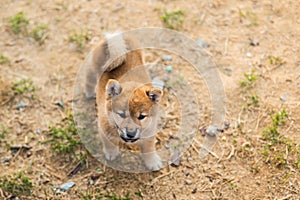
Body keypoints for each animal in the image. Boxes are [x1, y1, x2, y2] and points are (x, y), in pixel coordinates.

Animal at [82, 32, 164, 171]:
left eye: (141, 116)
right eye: (121, 114)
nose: (130, 133)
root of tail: (116, 36)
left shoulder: (149, 133)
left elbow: (149, 149)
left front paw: (152, 162)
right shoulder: (104, 130)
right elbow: (109, 144)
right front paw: (111, 153)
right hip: (93, 67)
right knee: (89, 77)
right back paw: (89, 92)